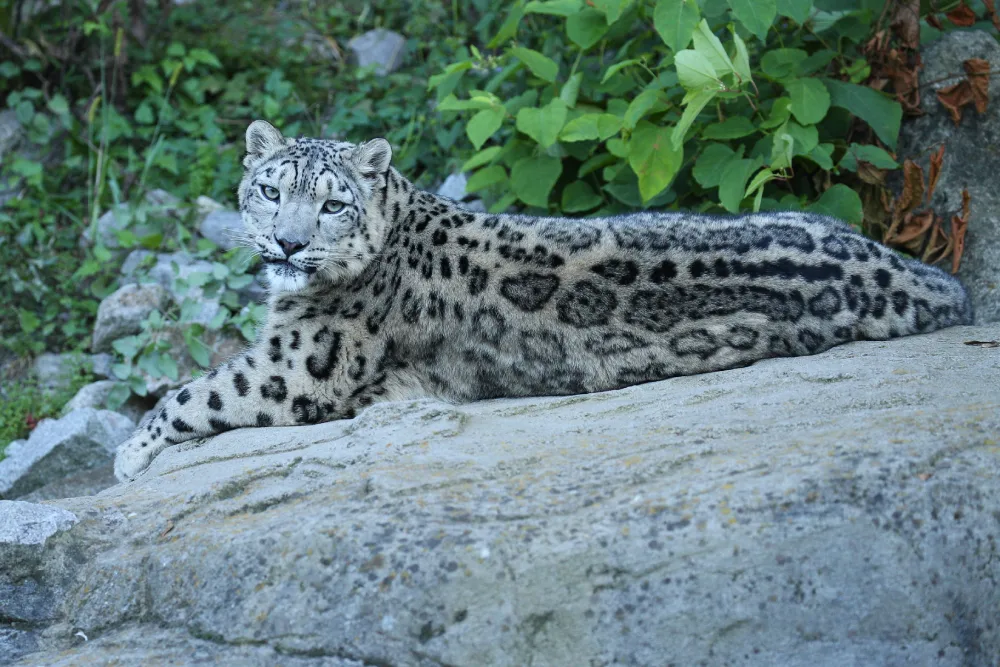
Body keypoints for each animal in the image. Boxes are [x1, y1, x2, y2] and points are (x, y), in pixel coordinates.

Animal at [113, 120, 973, 481]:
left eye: (331, 204)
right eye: (270, 190)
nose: (289, 244)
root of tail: (925, 275)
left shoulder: (299, 364)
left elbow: (197, 391)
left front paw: (128, 450)